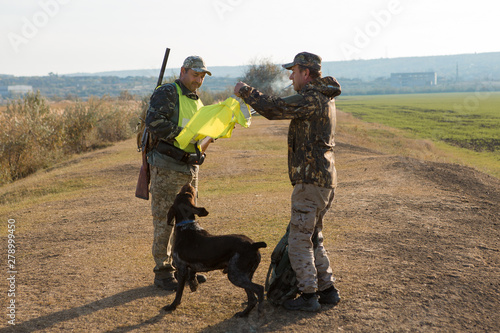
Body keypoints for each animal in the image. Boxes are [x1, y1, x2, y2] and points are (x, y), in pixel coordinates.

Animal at [163, 184, 266, 316]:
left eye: (184, 194)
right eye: (188, 193)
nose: (189, 184)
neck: (187, 226)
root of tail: (253, 245)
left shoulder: (181, 268)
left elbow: (178, 293)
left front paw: (173, 306)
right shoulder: (190, 266)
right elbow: (192, 275)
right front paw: (194, 285)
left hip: (235, 275)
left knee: (259, 289)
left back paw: (259, 310)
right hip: (245, 275)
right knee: (252, 298)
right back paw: (244, 314)